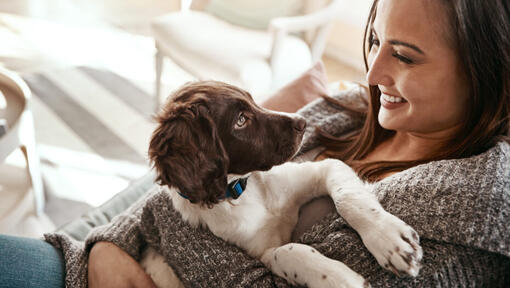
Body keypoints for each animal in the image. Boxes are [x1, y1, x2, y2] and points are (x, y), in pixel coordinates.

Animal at [140, 81, 422, 288]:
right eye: (241, 120)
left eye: (253, 101)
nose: (303, 123)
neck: (246, 192)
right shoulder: (261, 254)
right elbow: (288, 250)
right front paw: (338, 278)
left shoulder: (325, 168)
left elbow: (348, 199)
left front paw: (389, 240)